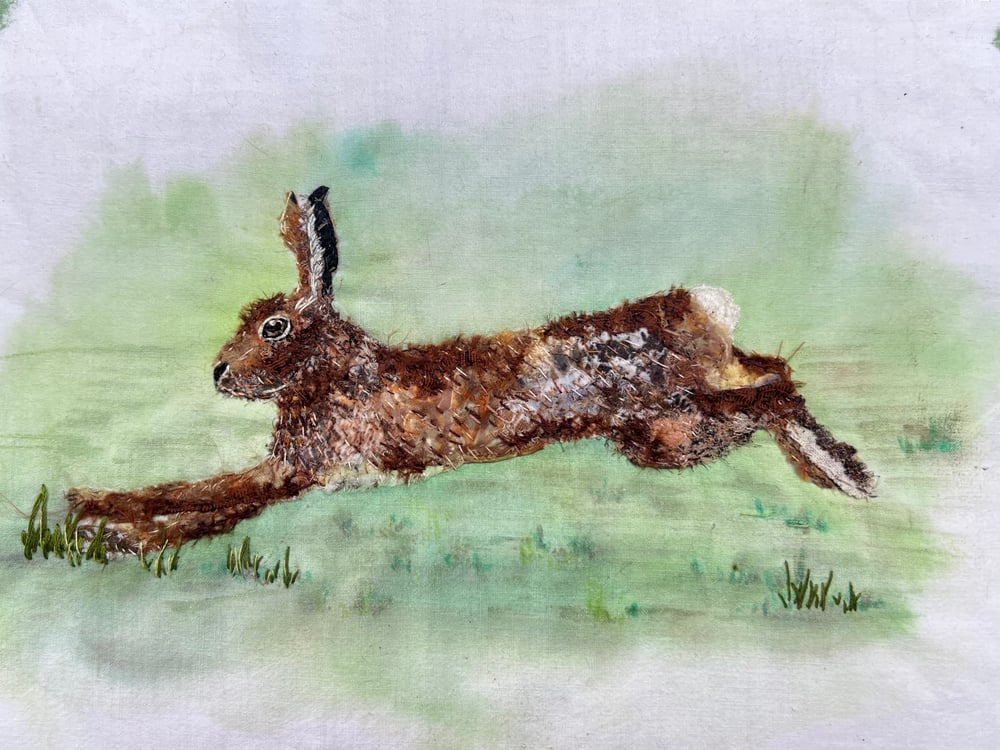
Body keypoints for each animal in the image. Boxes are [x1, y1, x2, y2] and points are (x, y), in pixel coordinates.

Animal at [67, 186, 875, 554]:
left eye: (273, 327)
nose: (218, 374)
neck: (336, 375)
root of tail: (700, 309)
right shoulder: (293, 467)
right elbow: (187, 487)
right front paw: (90, 502)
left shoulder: (313, 474)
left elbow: (219, 504)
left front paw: (120, 537)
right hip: (666, 433)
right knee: (768, 377)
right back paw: (838, 470)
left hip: (673, 416)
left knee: (774, 387)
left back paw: (841, 473)